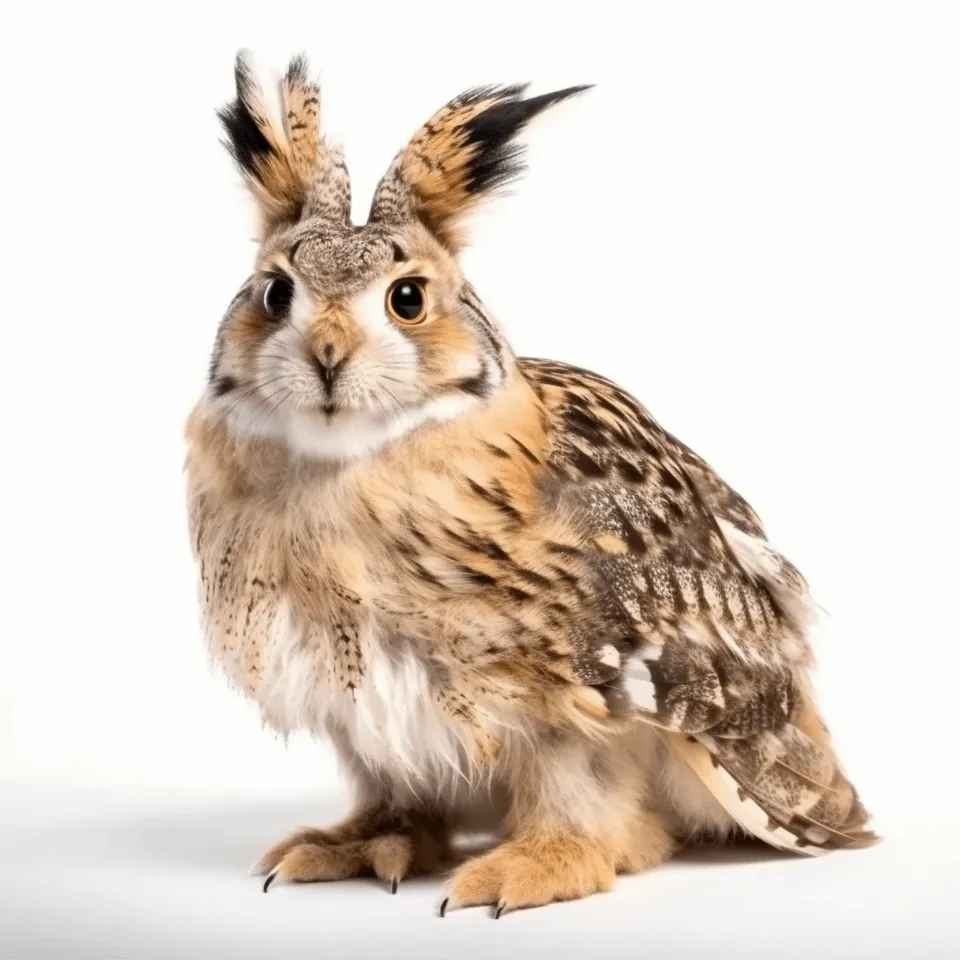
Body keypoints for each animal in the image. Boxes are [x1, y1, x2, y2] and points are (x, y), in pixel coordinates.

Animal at [185, 52, 874, 916]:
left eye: (406, 299)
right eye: (275, 292)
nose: (328, 353)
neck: (329, 470)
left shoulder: (564, 700)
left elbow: (579, 792)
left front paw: (541, 862)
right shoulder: (354, 702)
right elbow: (394, 781)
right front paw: (372, 837)